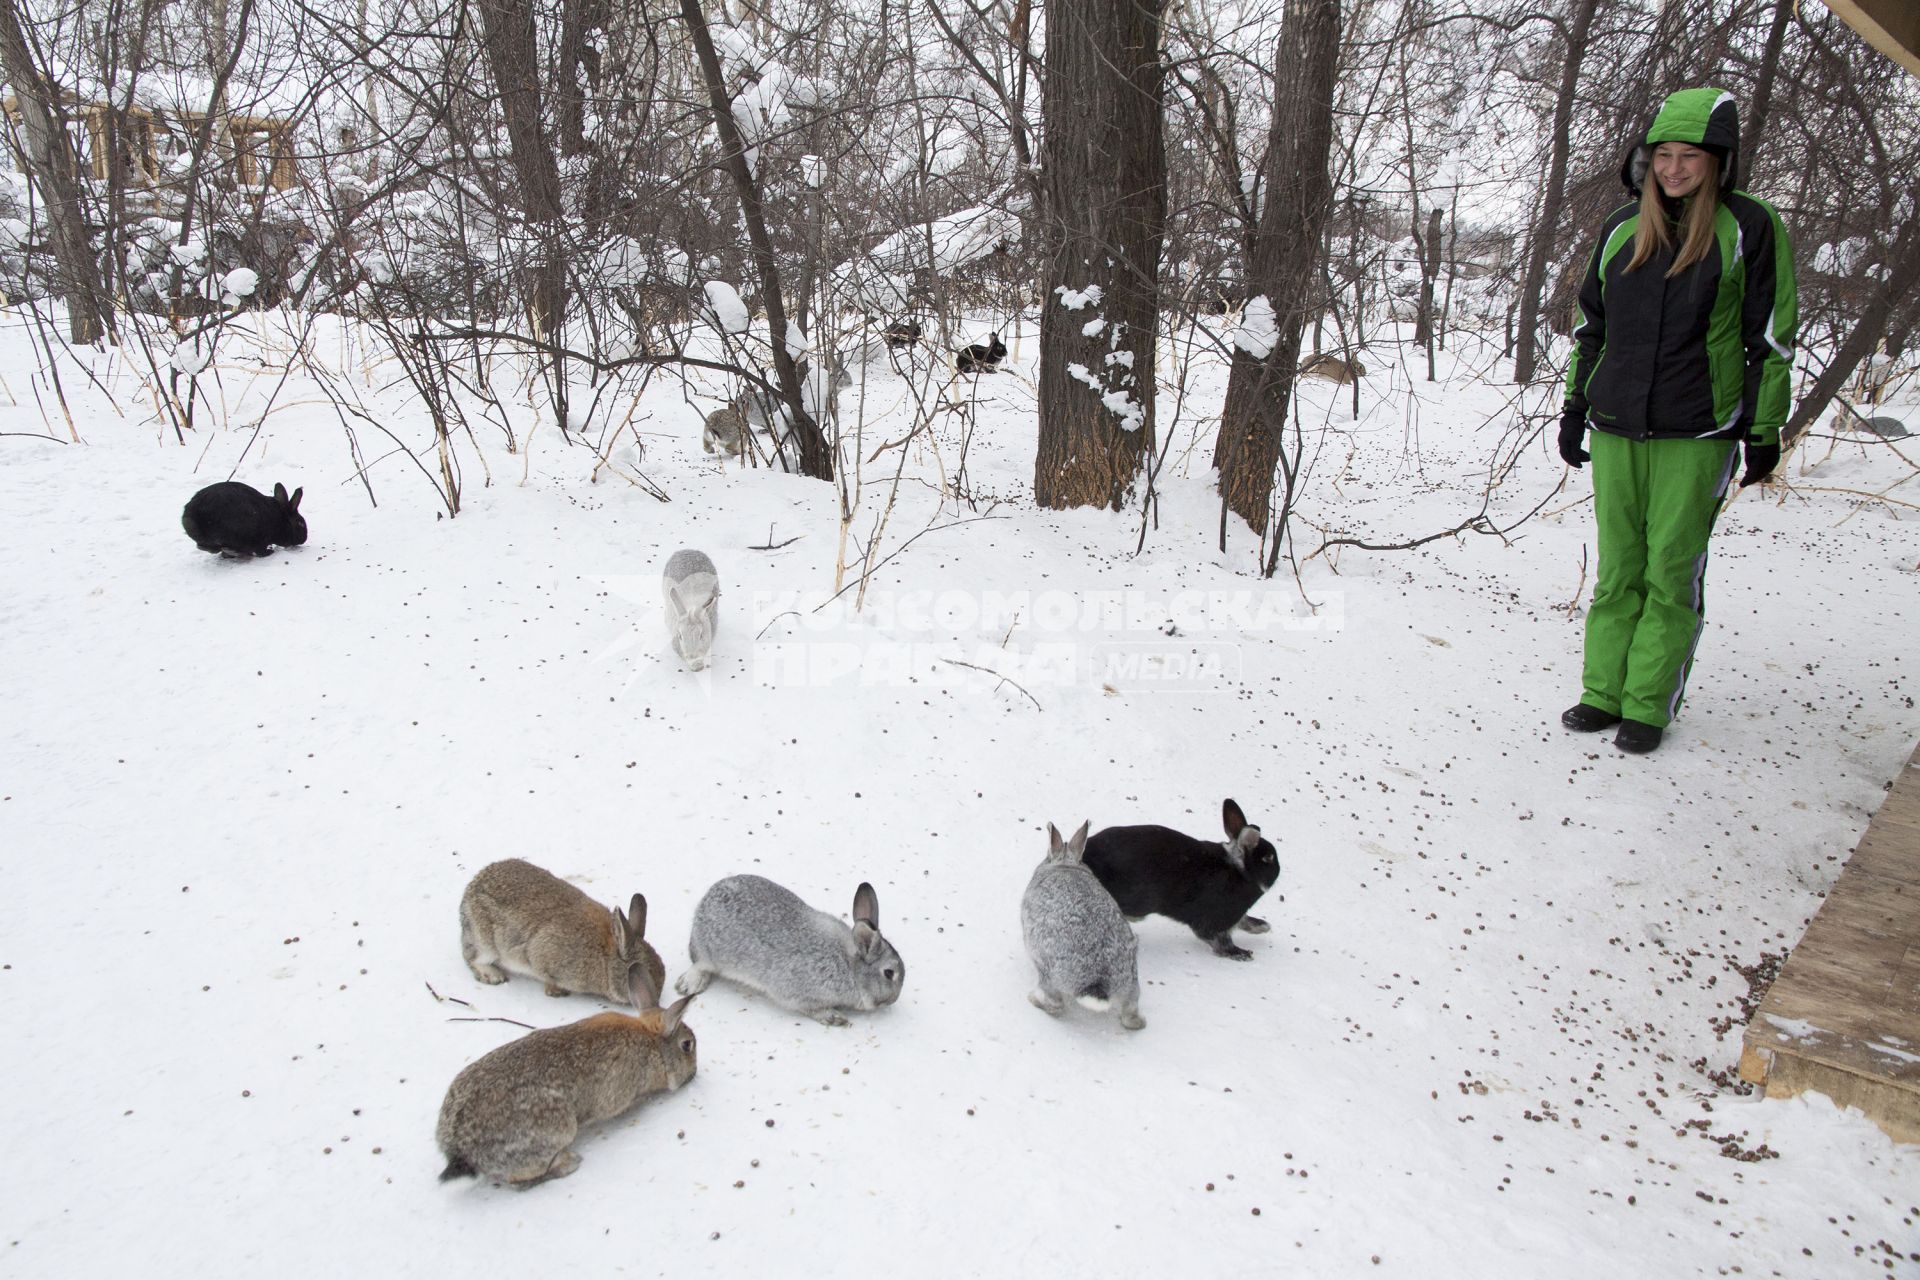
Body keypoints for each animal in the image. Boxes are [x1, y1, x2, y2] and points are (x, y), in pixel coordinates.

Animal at [437, 967, 698, 1189]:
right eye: (687, 1046)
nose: (694, 1074)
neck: (651, 1042)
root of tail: (460, 1148)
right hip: (555, 1128)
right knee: (521, 1179)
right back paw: (569, 1163)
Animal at [456, 867, 668, 1005]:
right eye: (641, 974)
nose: (656, 997)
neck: (606, 957)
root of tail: (469, 891)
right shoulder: (543, 957)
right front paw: (556, 991)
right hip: (485, 943)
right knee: (472, 958)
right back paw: (492, 975)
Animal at [675, 875, 906, 1028]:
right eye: (889, 973)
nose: (894, 1000)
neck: (850, 967)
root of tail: (706, 900)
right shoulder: (799, 994)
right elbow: (808, 1008)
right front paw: (833, 1017)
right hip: (708, 952)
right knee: (700, 964)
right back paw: (690, 983)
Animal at [1021, 821, 1136, 1028]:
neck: (1065, 865)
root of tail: (1097, 982)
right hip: (1132, 978)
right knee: (1131, 1017)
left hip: (1047, 971)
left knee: (1056, 1004)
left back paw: (1035, 1000)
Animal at [1082, 802, 1274, 959]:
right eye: (1268, 859)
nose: (1276, 872)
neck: (1239, 871)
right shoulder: (1214, 921)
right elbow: (1220, 940)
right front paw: (1239, 953)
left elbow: (1243, 921)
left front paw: (1263, 926)